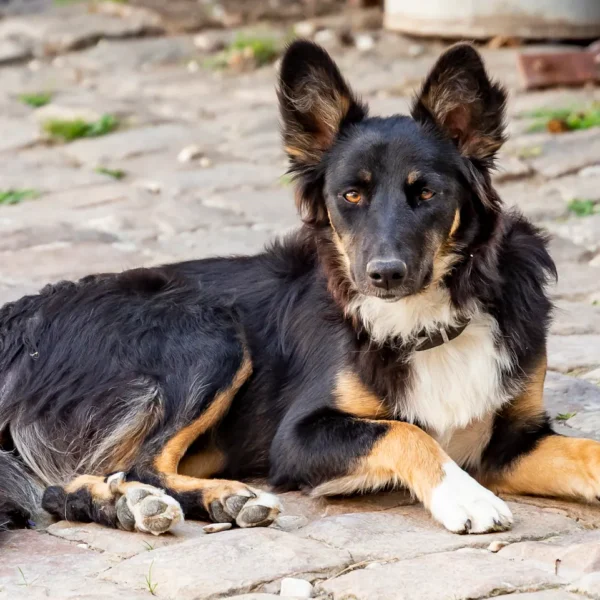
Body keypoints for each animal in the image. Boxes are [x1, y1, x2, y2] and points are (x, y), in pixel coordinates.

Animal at [1, 42, 600, 536]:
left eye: (426, 193)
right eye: (351, 195)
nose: (384, 274)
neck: (426, 319)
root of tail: (21, 318)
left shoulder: (514, 440)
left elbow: (587, 451)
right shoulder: (297, 437)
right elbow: (405, 432)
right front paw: (464, 497)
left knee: (74, 485)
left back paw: (146, 504)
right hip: (207, 331)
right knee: (136, 465)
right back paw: (182, 500)